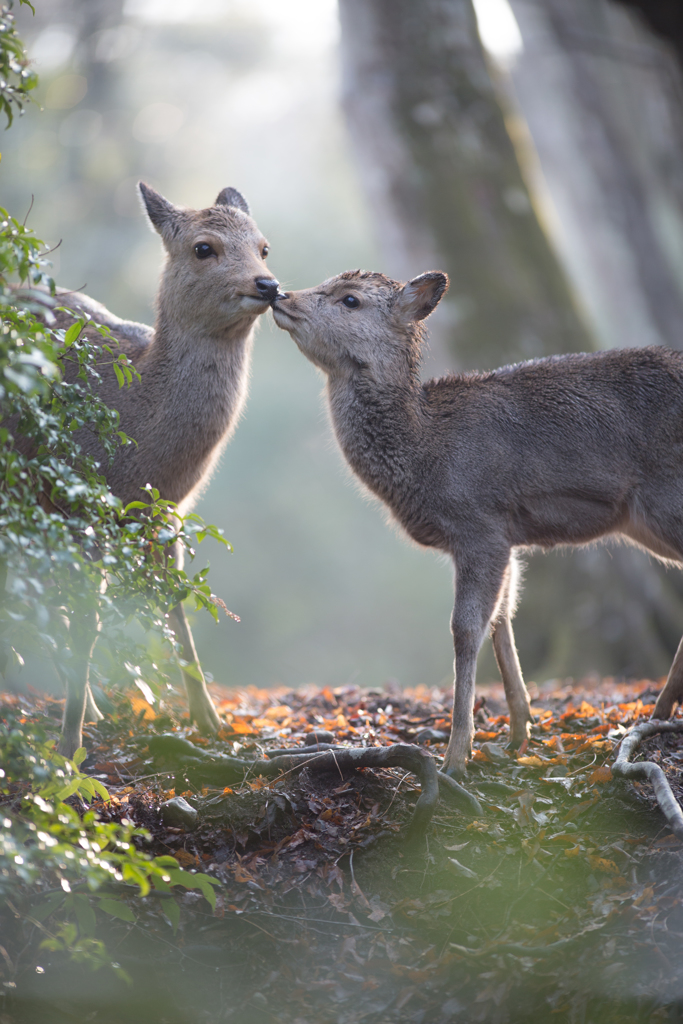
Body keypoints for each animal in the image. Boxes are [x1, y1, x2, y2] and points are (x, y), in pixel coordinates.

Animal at [15, 186, 278, 761]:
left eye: (264, 247)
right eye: (203, 247)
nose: (267, 284)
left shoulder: (166, 515)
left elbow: (177, 609)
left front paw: (212, 721)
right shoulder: (85, 501)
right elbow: (90, 622)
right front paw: (69, 748)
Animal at [272, 270, 683, 774]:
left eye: (350, 299)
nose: (279, 293)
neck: (425, 454)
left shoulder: (479, 524)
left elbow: (466, 628)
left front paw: (456, 753)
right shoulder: (506, 535)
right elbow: (502, 617)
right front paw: (519, 730)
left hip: (667, 499)